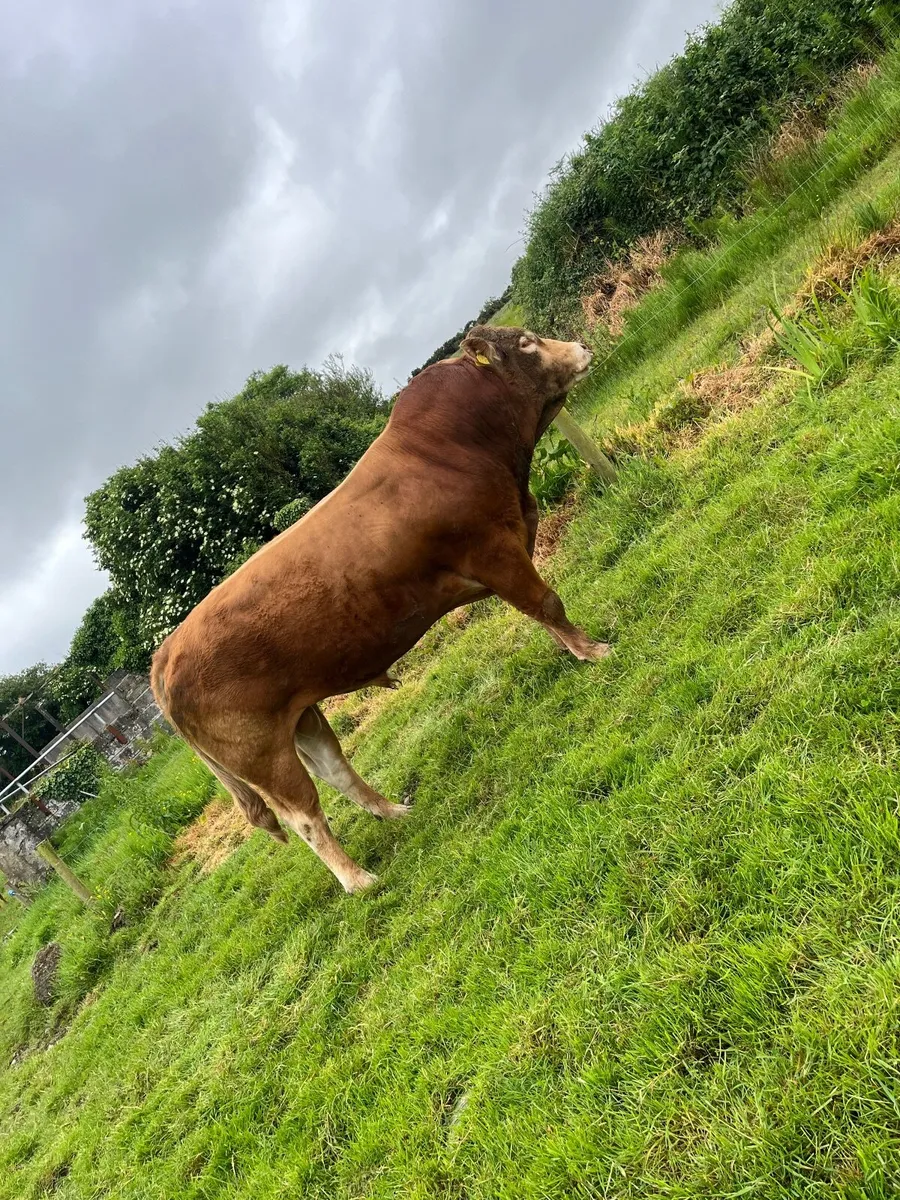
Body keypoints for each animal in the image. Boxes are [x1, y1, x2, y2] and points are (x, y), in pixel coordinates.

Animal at [151, 326, 610, 893]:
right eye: (525, 343)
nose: (581, 347)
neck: (459, 447)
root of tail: (165, 652)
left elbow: (540, 609)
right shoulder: (492, 550)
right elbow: (546, 601)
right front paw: (593, 651)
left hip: (301, 718)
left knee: (337, 771)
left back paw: (393, 811)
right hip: (260, 753)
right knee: (304, 815)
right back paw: (357, 879)